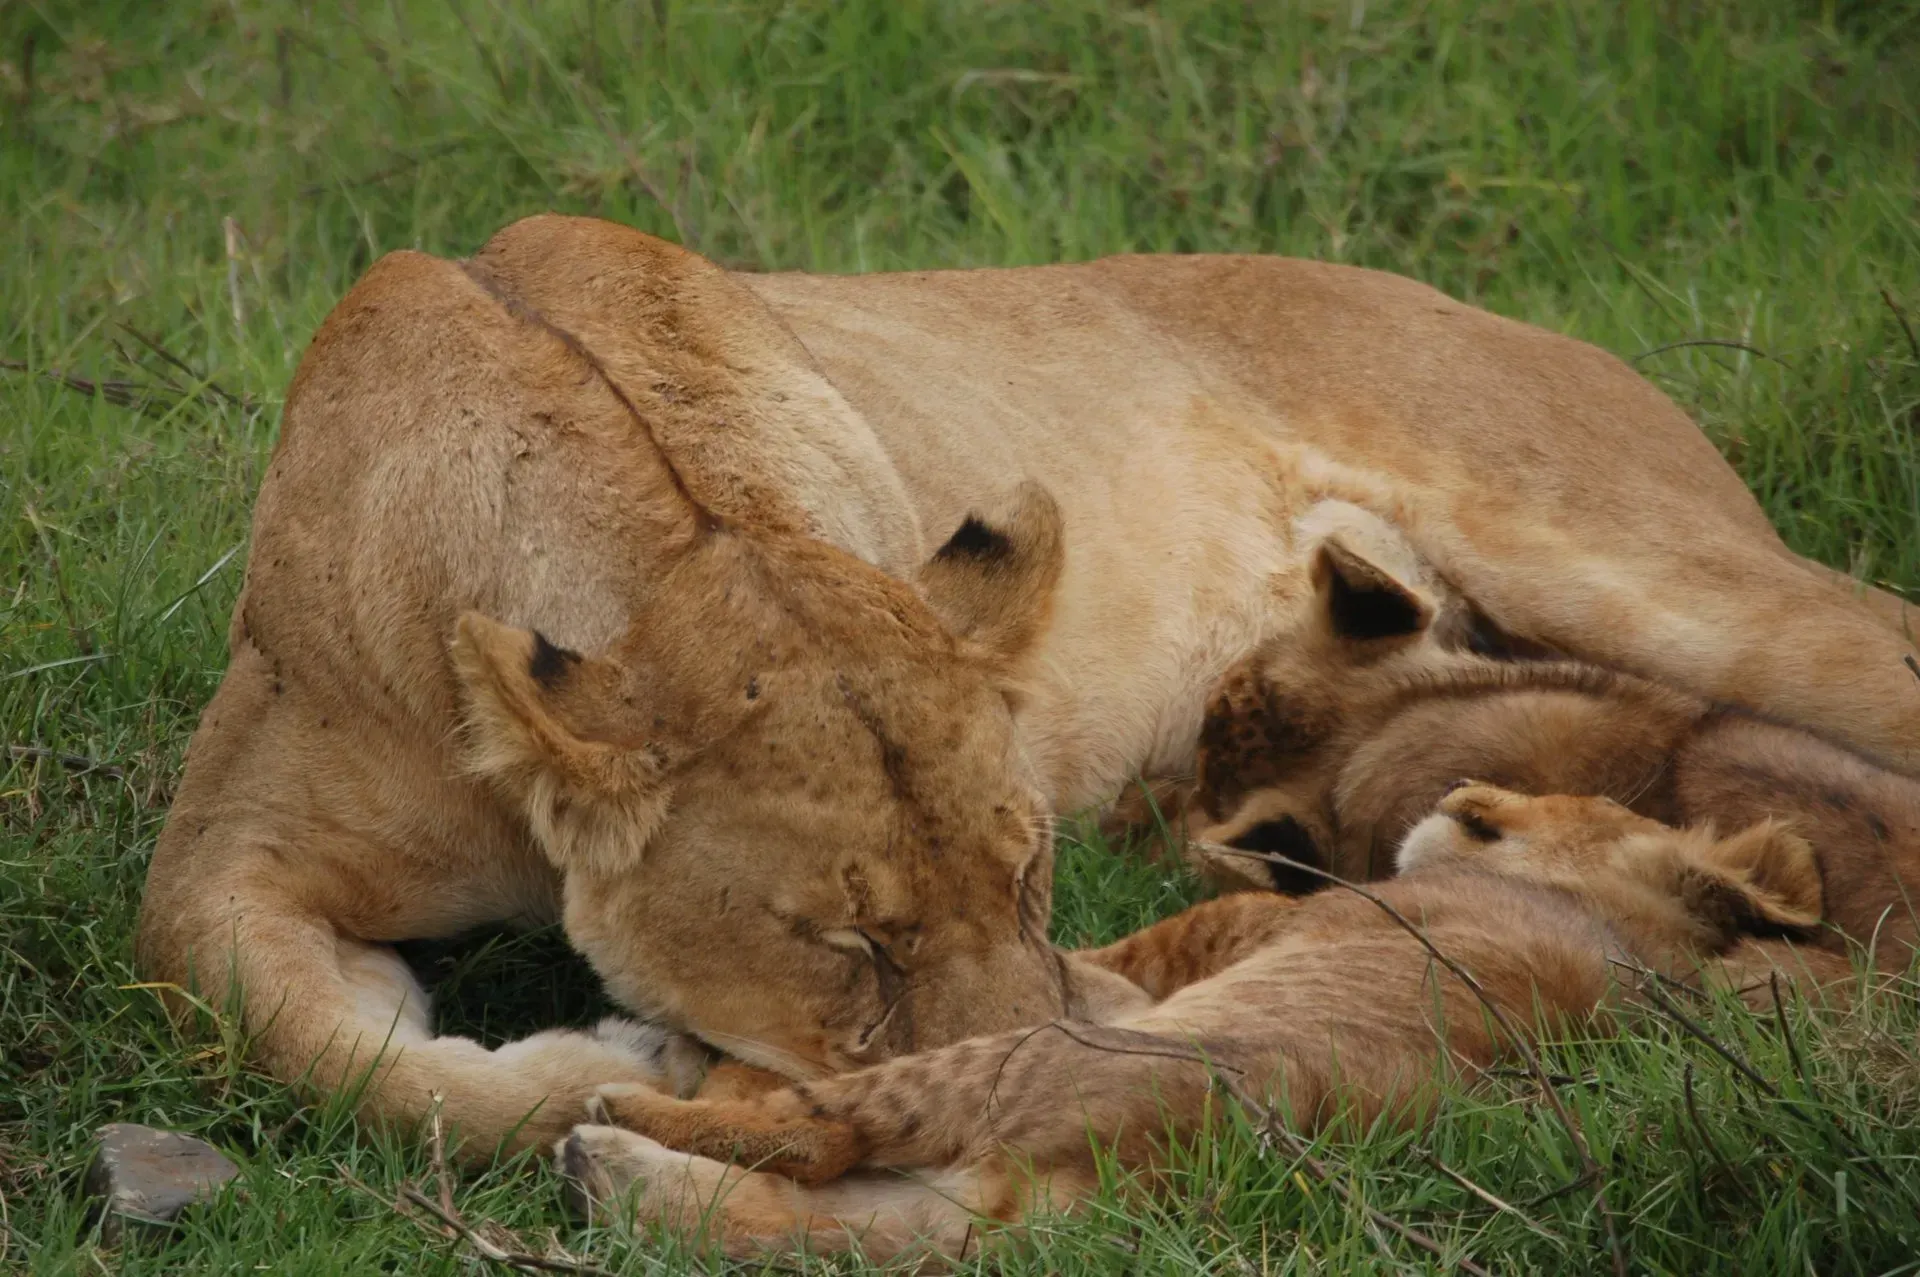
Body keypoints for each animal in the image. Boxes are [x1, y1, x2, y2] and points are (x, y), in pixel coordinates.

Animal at [138, 213, 1920, 1157]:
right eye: (847, 941)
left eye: (1029, 868)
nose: (1002, 1097)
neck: (687, 536)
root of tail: (1487, 305)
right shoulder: (229, 847)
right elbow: (282, 1024)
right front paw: (605, 1069)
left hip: (1656, 569)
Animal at [557, 784, 1833, 1263]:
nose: (1465, 795)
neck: (1608, 920)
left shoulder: (1193, 957)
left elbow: (1058, 961)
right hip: (961, 1199)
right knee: (809, 1227)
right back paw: (605, 1165)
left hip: (1017, 1067)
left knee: (815, 1137)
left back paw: (631, 1106)